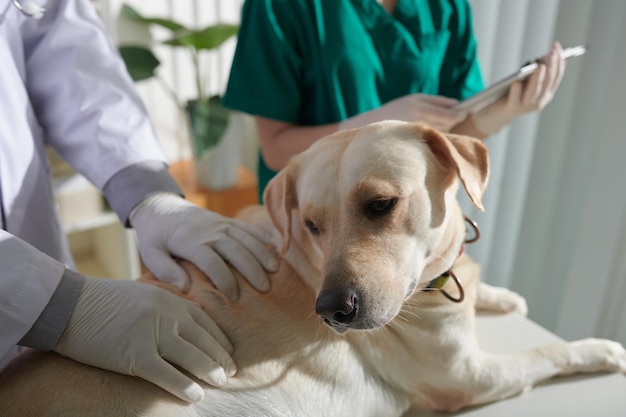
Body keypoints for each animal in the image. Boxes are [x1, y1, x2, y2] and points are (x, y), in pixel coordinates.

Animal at [1, 121, 624, 416]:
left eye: (380, 205)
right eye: (311, 226)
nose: (331, 312)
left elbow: (476, 285)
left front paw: (499, 295)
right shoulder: (468, 377)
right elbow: (547, 352)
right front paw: (600, 348)